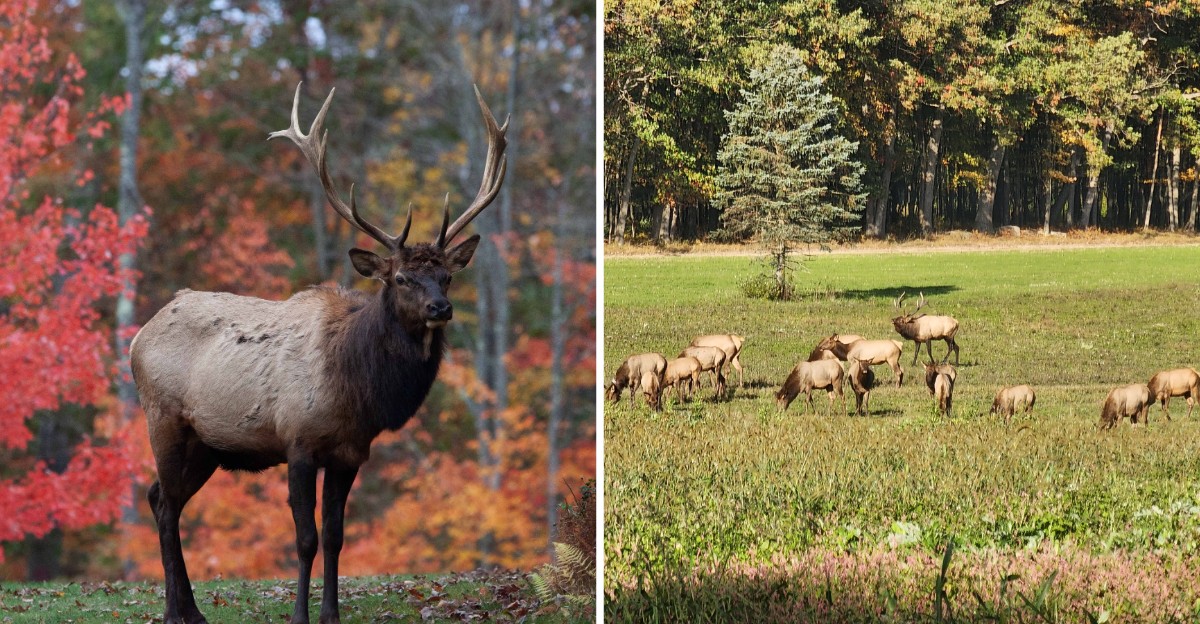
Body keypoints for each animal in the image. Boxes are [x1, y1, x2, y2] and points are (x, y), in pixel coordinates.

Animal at [130, 84, 507, 624]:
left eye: (447, 276)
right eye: (400, 278)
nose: (441, 307)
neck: (356, 389)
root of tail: (138, 336)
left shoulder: (350, 453)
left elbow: (334, 536)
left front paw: (330, 614)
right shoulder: (299, 442)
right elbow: (305, 538)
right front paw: (300, 615)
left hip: (207, 445)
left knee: (165, 497)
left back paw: (193, 610)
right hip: (162, 418)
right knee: (163, 504)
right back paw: (174, 613)